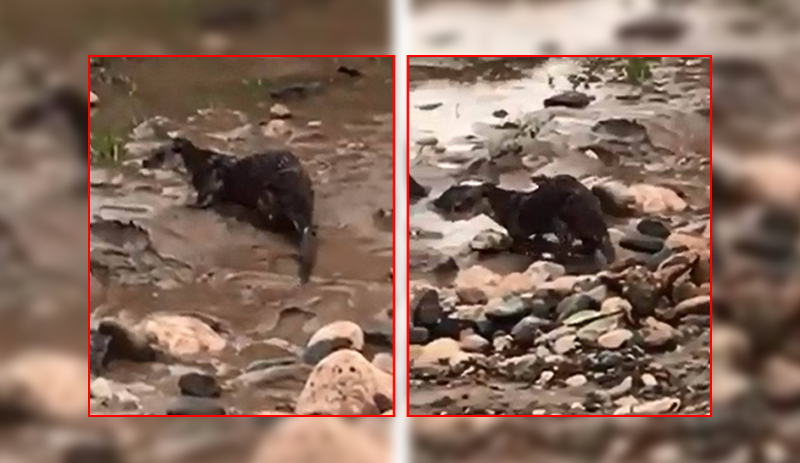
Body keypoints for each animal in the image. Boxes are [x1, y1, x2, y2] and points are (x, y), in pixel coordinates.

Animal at [434, 174, 616, 262]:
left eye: (467, 200)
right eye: (451, 196)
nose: (454, 209)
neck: (505, 206)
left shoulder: (515, 229)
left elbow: (519, 243)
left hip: (561, 219)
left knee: (569, 242)